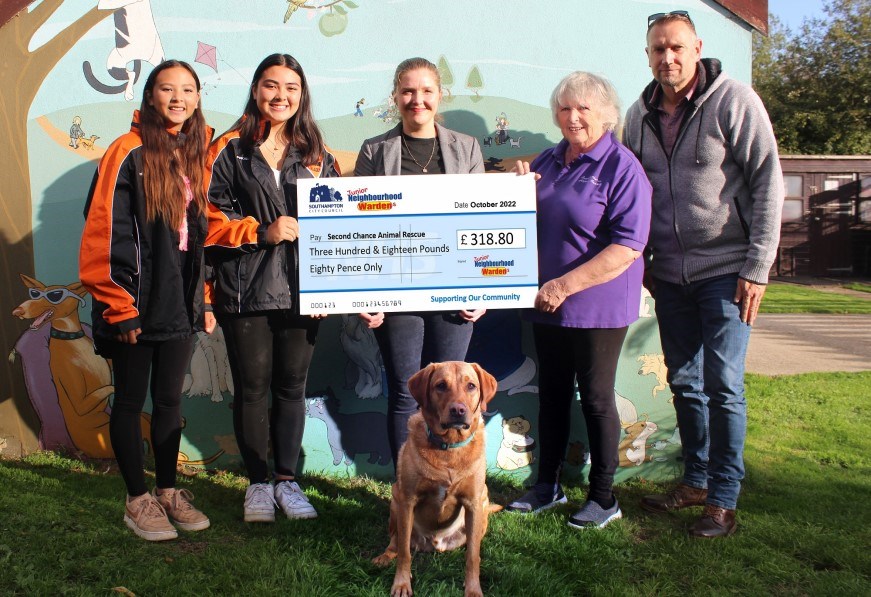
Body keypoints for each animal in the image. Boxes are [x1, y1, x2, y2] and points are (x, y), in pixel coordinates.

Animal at [372, 360, 498, 592]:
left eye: (471, 386)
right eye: (440, 385)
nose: (458, 410)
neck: (448, 448)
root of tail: (434, 544)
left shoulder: (474, 503)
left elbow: (472, 556)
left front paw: (473, 590)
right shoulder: (408, 500)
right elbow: (404, 553)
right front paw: (401, 583)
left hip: (484, 502)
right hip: (396, 500)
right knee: (395, 541)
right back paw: (385, 556)